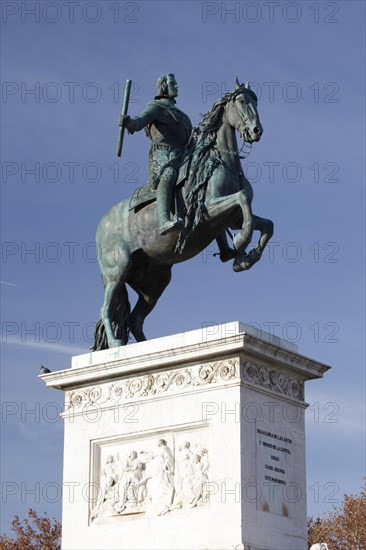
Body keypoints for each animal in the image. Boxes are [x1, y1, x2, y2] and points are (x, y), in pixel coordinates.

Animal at [93, 80, 274, 352]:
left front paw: (244, 258)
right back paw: (117, 343)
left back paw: (147, 347)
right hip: (118, 269)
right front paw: (241, 244)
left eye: (256, 101)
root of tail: (101, 226)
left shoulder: (231, 219)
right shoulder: (209, 213)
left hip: (154, 282)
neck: (221, 161)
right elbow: (243, 200)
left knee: (135, 319)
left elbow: (265, 224)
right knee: (107, 308)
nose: (255, 130)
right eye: (242, 101)